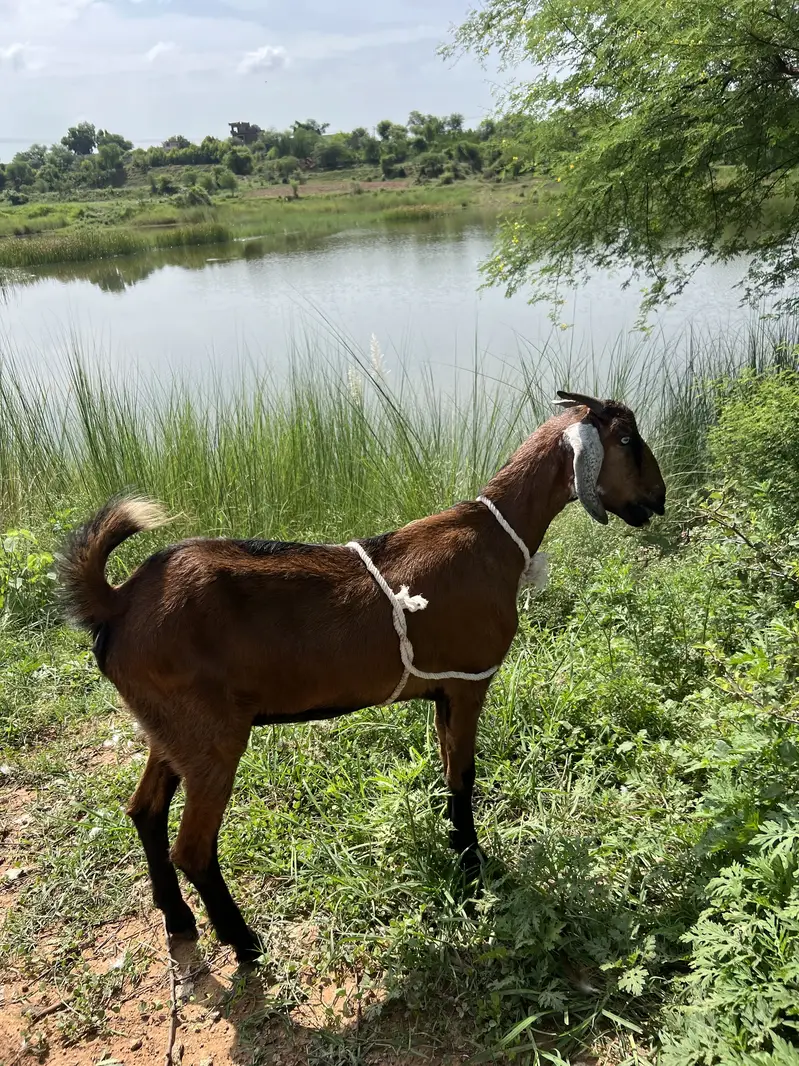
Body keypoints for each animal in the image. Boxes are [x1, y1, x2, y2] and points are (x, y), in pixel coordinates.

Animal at [59, 391, 666, 963]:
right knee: (192, 847)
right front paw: (475, 868)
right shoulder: (470, 680)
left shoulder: (442, 687)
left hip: (169, 730)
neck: (497, 537)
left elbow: (447, 772)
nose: (657, 499)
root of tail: (118, 602)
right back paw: (244, 943)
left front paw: (455, 849)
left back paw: (178, 920)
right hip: (210, 736)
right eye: (628, 439)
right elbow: (463, 777)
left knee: (144, 811)